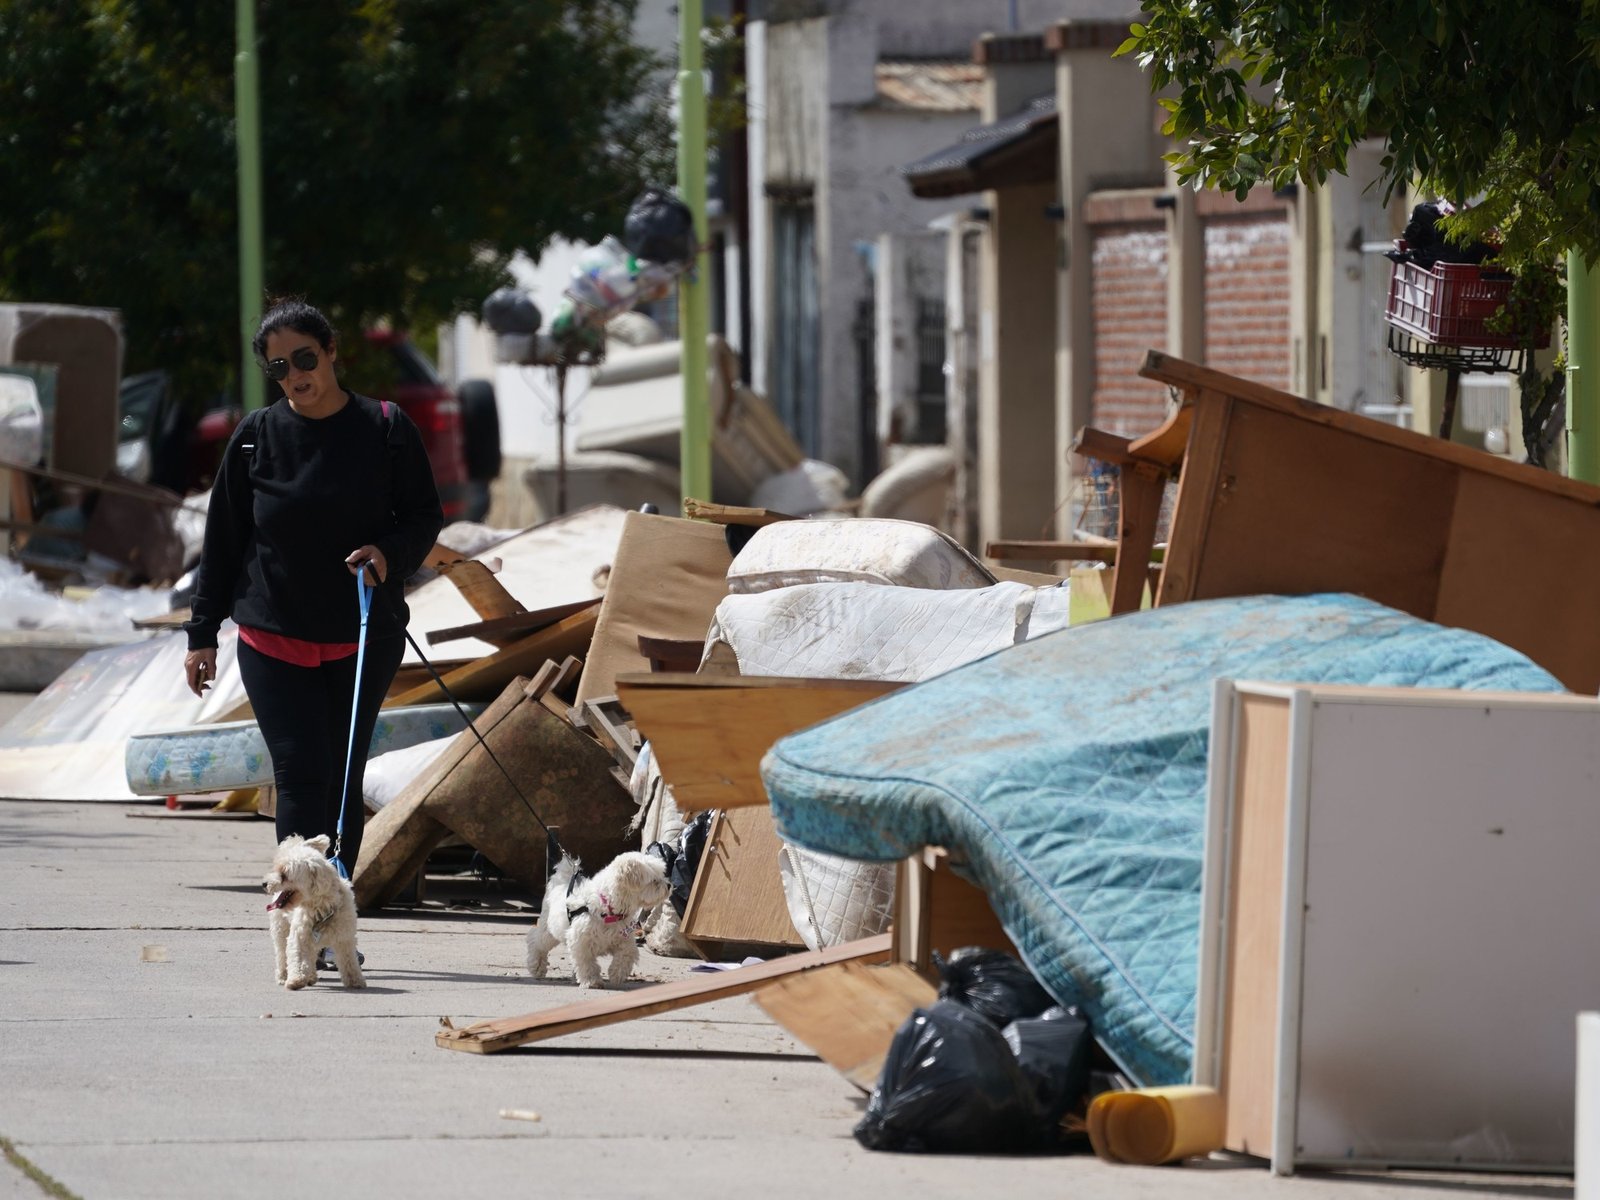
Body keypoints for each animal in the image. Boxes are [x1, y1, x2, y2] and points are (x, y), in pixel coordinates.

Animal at [264, 838, 366, 998]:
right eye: (277, 870)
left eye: (284, 874)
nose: (264, 884)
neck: (321, 908)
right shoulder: (298, 936)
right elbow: (297, 957)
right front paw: (296, 979)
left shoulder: (345, 938)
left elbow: (349, 960)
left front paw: (355, 980)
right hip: (281, 929)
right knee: (282, 954)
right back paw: (283, 976)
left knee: (311, 956)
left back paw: (310, 976)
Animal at [528, 851, 672, 992]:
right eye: (654, 881)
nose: (669, 885)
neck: (608, 908)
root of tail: (562, 881)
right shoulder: (581, 941)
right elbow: (587, 962)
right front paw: (592, 981)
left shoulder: (623, 938)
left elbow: (627, 954)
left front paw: (617, 973)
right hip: (548, 930)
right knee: (535, 941)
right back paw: (537, 966)